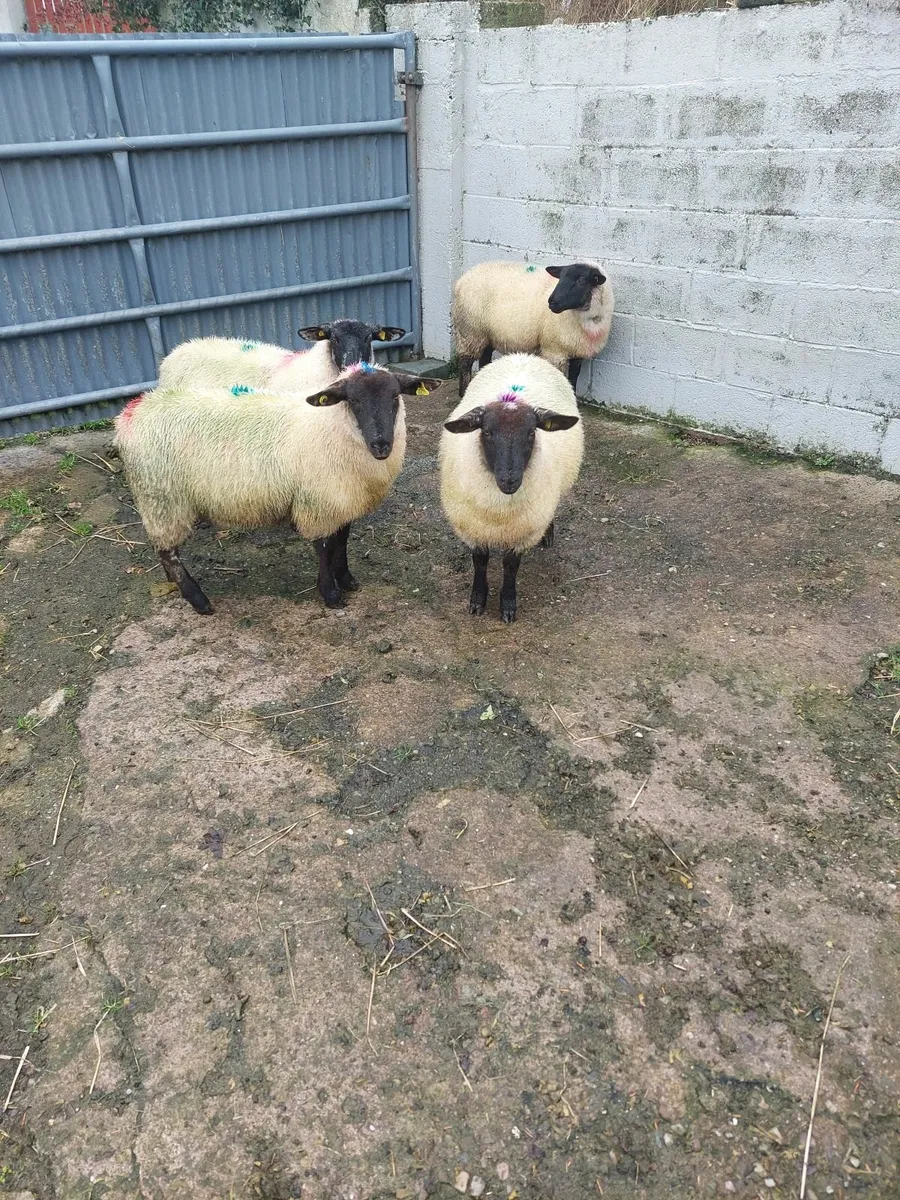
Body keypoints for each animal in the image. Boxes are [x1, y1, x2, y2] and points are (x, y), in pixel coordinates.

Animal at [115, 363, 438, 615]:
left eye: (395, 396)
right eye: (353, 400)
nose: (381, 445)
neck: (331, 426)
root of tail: (131, 414)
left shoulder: (342, 499)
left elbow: (342, 540)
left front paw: (346, 578)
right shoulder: (317, 502)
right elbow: (324, 546)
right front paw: (330, 593)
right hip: (161, 497)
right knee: (167, 551)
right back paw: (198, 600)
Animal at [439, 352, 583, 624]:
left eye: (531, 432)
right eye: (486, 431)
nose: (509, 480)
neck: (499, 511)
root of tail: (523, 355)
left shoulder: (523, 529)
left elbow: (510, 566)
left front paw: (507, 604)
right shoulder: (472, 525)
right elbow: (480, 561)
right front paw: (478, 599)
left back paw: (548, 535)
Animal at [452, 261, 614, 397]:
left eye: (581, 280)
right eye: (560, 278)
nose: (552, 302)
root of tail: (462, 279)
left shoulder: (577, 352)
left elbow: (574, 378)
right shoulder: (554, 351)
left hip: (486, 335)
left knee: (484, 359)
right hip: (470, 332)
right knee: (465, 363)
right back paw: (463, 393)